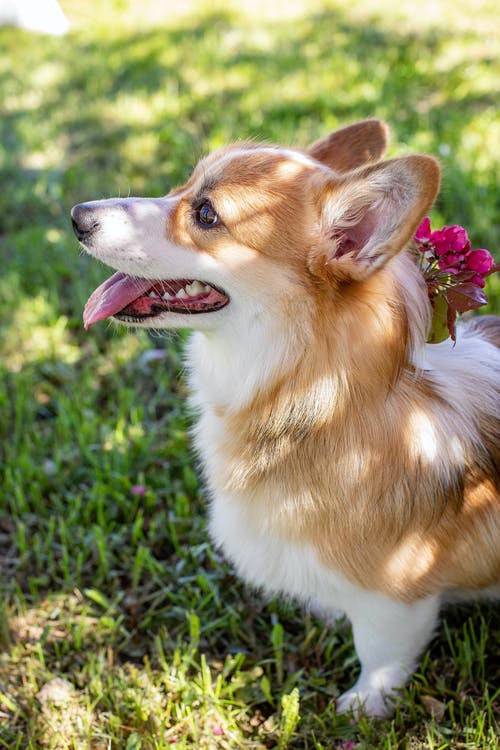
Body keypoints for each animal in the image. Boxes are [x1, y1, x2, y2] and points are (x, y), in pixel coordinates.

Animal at [72, 120, 498, 720]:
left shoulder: (397, 594)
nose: (77, 215)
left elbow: (381, 652)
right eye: (183, 186)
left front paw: (364, 706)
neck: (316, 396)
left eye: (207, 214)